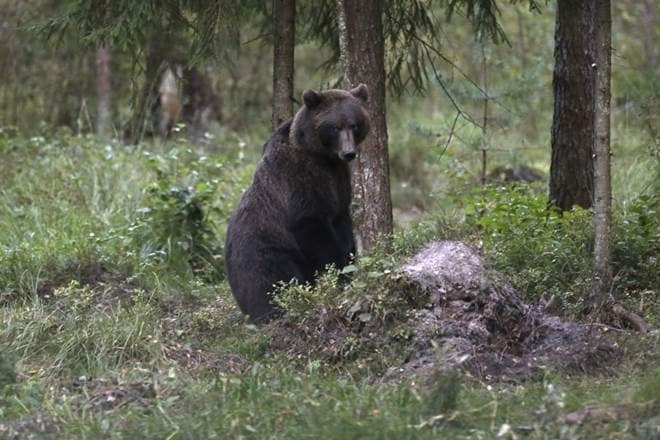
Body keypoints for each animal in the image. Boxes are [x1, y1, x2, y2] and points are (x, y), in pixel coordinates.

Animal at [224, 84, 371, 322]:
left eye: (355, 125)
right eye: (334, 127)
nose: (349, 152)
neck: (322, 157)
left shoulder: (339, 182)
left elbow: (342, 223)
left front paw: (349, 264)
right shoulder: (298, 179)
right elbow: (311, 226)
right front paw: (338, 271)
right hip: (266, 252)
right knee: (271, 283)